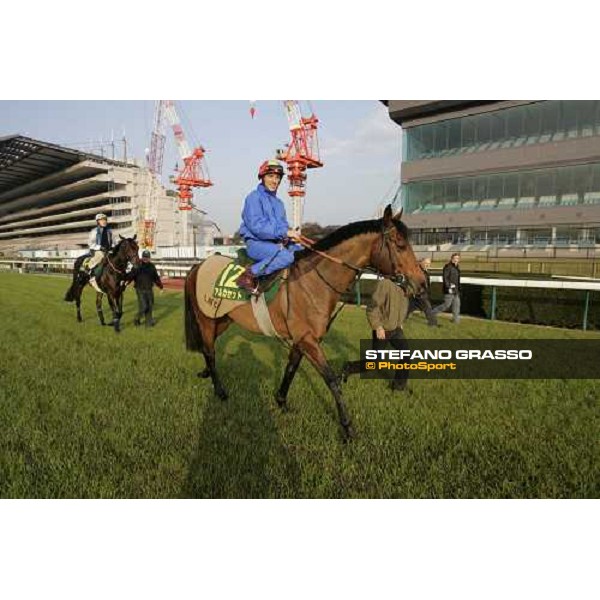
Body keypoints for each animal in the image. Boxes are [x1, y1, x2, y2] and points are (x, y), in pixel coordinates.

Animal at [185, 204, 424, 438]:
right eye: (400, 244)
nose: (421, 282)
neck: (314, 282)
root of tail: (197, 266)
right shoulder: (309, 339)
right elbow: (332, 380)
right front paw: (347, 427)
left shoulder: (302, 339)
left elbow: (291, 368)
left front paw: (281, 401)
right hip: (206, 319)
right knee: (210, 351)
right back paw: (220, 391)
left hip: (222, 321)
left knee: (207, 348)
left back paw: (207, 373)